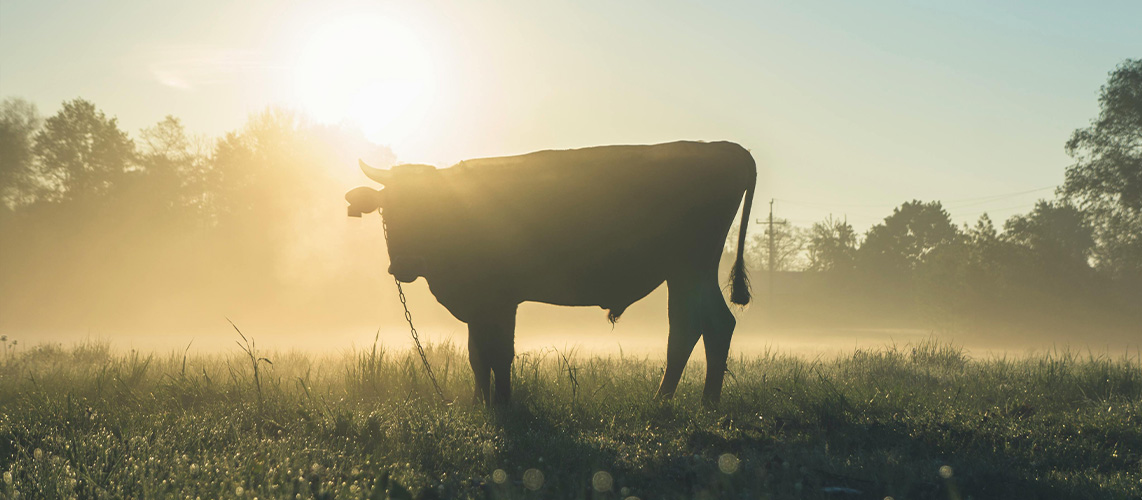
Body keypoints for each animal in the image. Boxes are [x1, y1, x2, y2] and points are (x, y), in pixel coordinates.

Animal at [345, 141, 756, 405]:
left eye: (430, 206)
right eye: (387, 209)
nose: (406, 264)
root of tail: (727, 148)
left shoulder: (499, 300)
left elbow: (499, 353)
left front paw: (503, 405)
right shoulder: (480, 305)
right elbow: (477, 354)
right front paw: (480, 404)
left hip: (690, 268)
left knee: (698, 327)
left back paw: (681, 404)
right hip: (690, 272)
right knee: (704, 326)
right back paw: (689, 402)